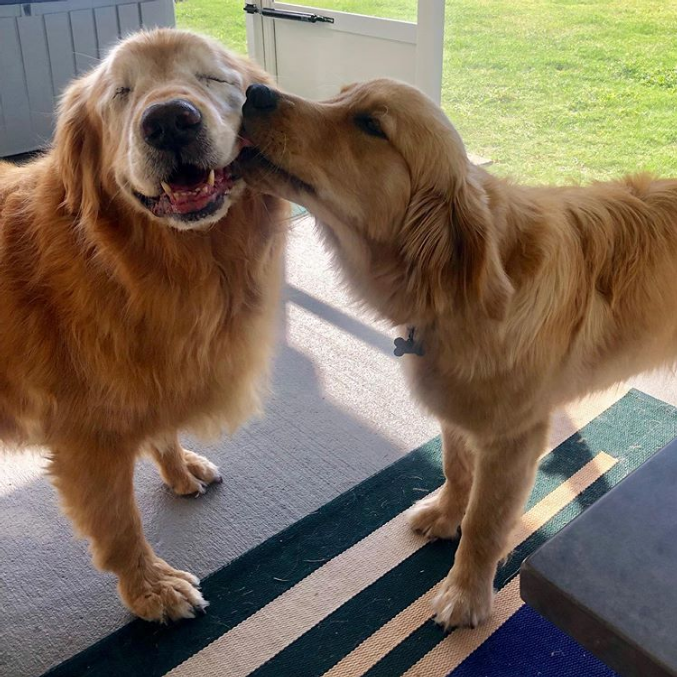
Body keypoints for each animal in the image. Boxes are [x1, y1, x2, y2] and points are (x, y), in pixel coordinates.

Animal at [0, 33, 286, 624]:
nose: (170, 121)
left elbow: (164, 429)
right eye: (121, 93)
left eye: (212, 78)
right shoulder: (87, 442)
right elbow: (121, 528)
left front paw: (179, 470)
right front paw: (151, 589)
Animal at [236, 79, 676, 628]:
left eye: (371, 124)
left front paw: (465, 595)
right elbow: (454, 468)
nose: (254, 91)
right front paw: (446, 517)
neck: (454, 297)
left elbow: (485, 524)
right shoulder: (457, 411)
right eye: (339, 95)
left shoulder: (512, 439)